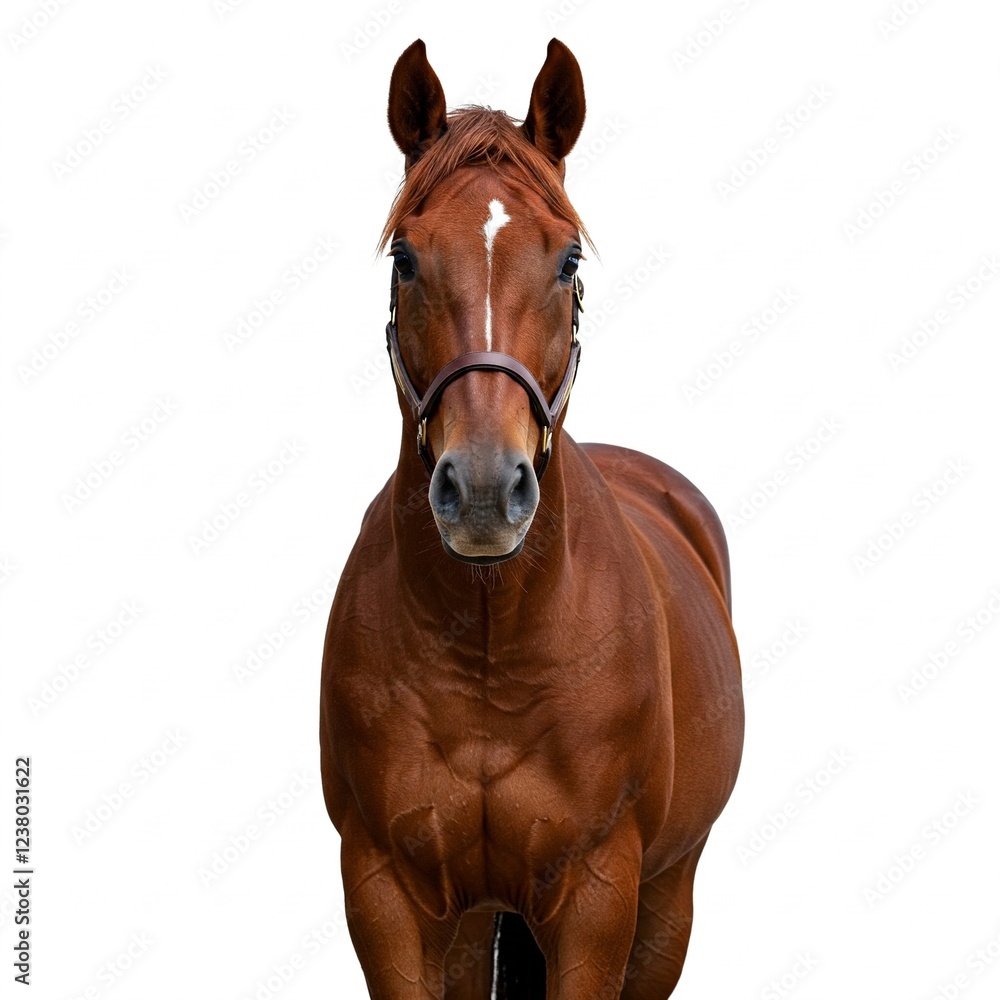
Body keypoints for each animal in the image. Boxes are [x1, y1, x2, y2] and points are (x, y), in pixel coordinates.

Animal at [320, 38, 744, 1000]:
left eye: (568, 261)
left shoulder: (598, 898)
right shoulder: (386, 894)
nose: (483, 488)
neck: (491, 645)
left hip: (669, 899)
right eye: (407, 257)